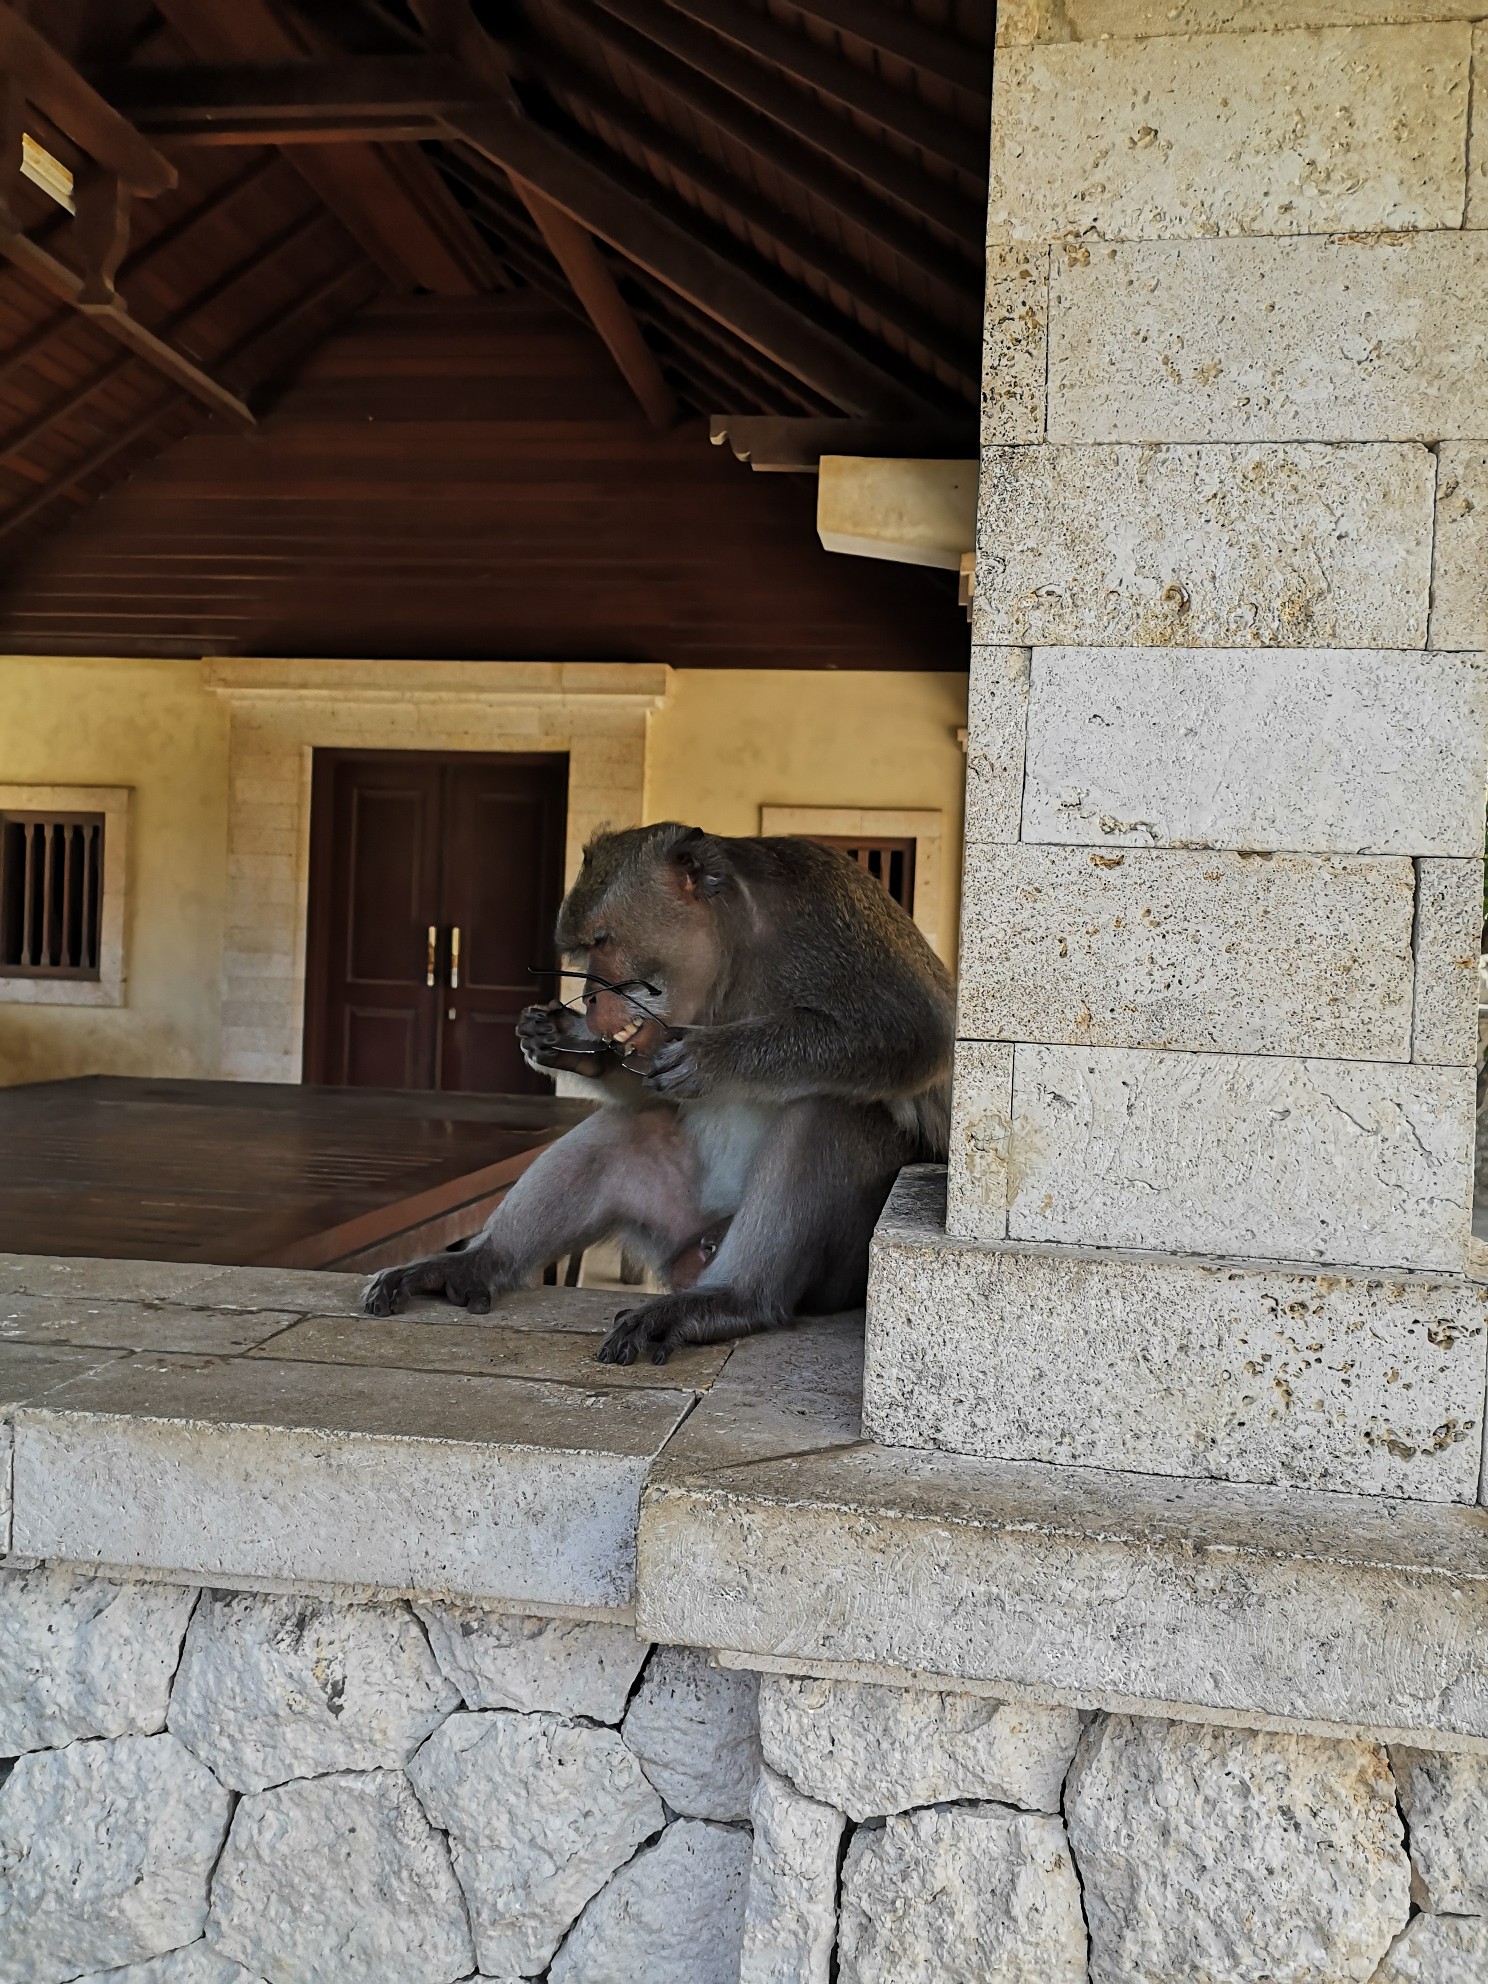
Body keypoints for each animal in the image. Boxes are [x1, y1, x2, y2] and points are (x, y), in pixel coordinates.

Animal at [367, 821, 960, 1364]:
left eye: (602, 942)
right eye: (579, 951)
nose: (589, 998)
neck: (736, 958)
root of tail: (703, 1247)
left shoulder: (826, 913)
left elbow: (916, 1031)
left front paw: (712, 1057)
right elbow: (648, 1089)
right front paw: (562, 1042)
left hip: (836, 1272)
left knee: (830, 1108)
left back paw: (734, 1298)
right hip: (677, 1225)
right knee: (628, 1129)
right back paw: (476, 1262)